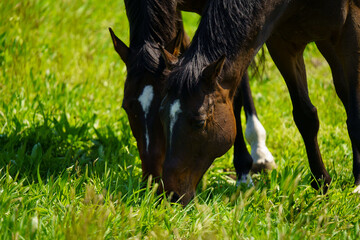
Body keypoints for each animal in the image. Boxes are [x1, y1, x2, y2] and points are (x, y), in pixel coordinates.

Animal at [160, 0, 360, 204]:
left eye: (200, 123)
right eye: (162, 116)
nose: (172, 194)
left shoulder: (351, 27)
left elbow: (354, 119)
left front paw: (357, 184)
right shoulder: (282, 43)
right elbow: (305, 116)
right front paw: (321, 183)